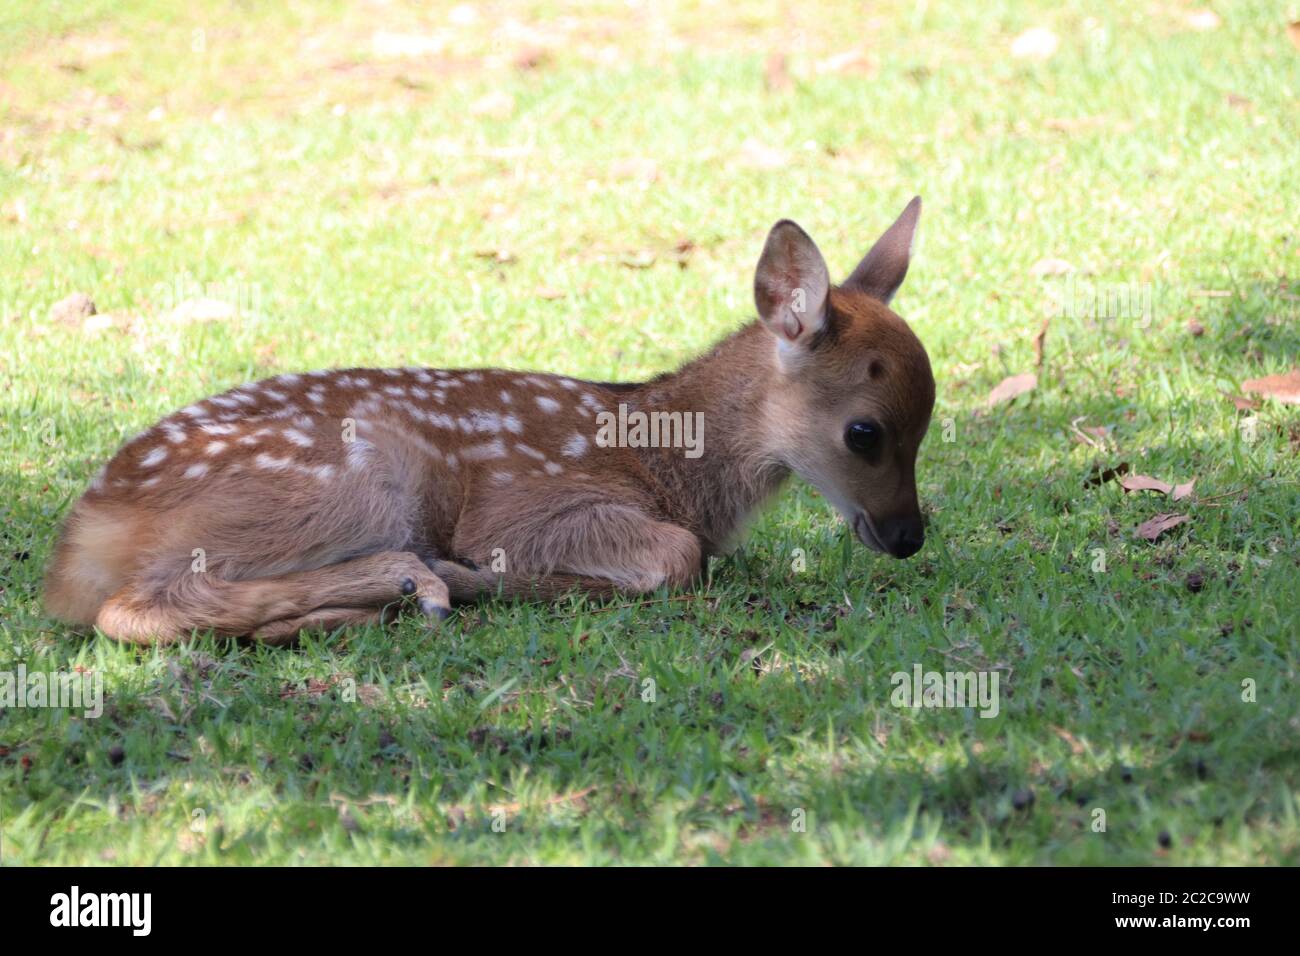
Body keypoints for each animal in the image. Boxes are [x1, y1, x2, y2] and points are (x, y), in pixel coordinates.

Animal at [43, 196, 935, 642]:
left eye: (927, 425)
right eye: (864, 431)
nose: (908, 536)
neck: (667, 459)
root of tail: (78, 543)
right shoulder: (525, 505)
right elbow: (678, 556)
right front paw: (487, 578)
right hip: (349, 477)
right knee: (131, 607)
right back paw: (415, 585)